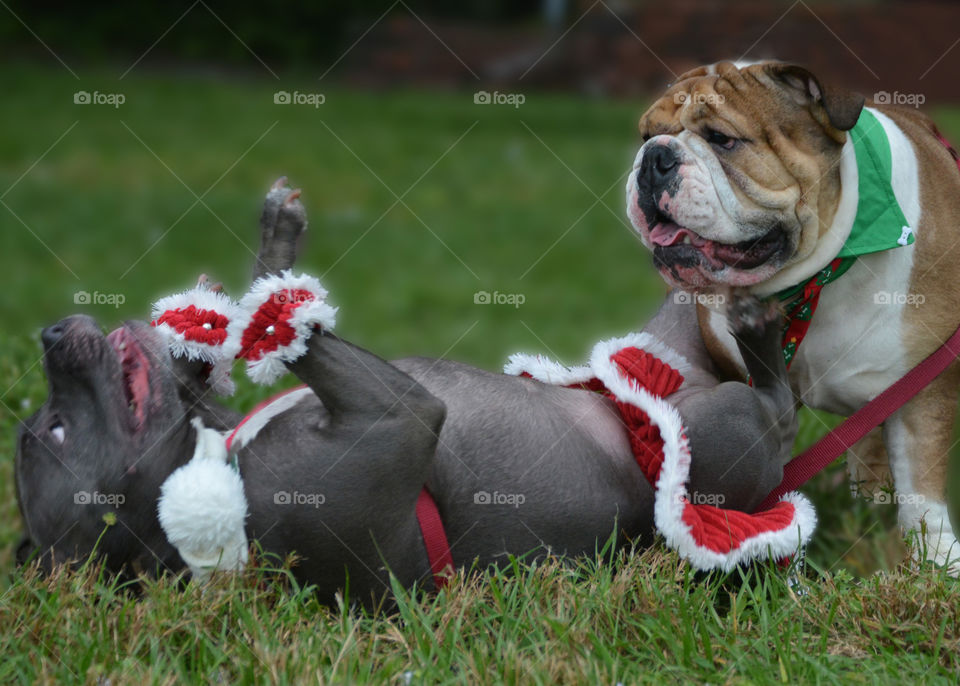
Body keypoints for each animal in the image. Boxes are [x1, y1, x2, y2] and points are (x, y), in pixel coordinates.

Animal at [13, 180, 796, 604]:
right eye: (55, 430)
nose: (48, 332)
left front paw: (214, 318)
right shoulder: (394, 421)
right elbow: (292, 333)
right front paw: (267, 283)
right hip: (719, 433)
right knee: (773, 403)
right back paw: (761, 329)